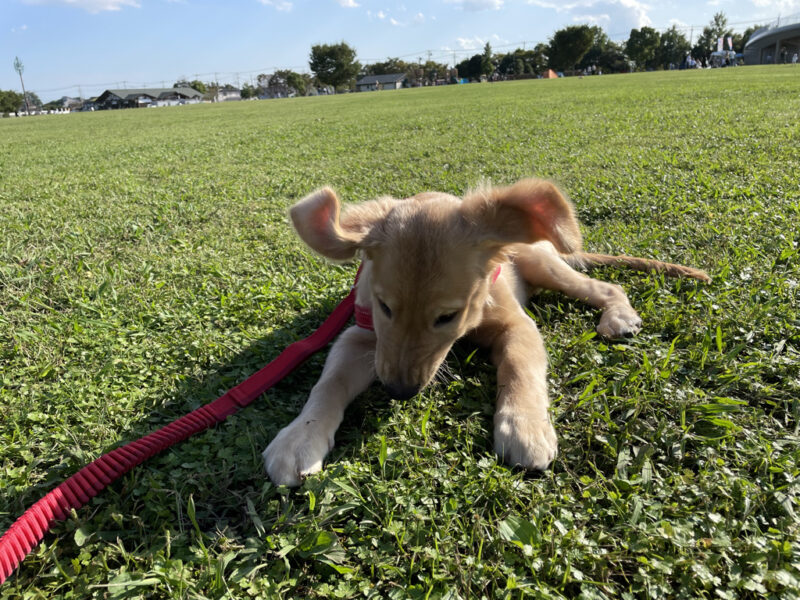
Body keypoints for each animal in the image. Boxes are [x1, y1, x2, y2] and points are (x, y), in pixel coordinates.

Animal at [262, 179, 708, 488]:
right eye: (386, 306)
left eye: (448, 315)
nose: (398, 391)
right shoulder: (362, 335)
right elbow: (328, 383)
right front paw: (299, 438)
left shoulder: (517, 325)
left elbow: (519, 367)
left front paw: (525, 427)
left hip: (544, 265)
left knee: (607, 287)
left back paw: (618, 316)